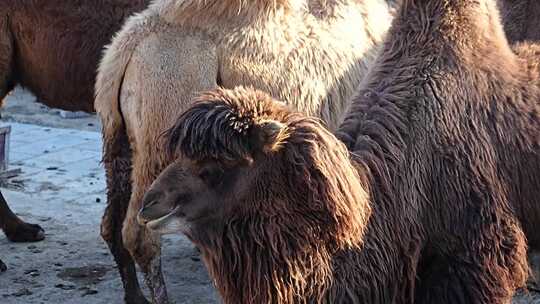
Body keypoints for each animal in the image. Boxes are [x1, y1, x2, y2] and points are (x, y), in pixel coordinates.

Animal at [95, 1, 394, 302]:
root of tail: (126, 49)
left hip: (119, 137)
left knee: (113, 220)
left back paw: (135, 294)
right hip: (163, 116)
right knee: (141, 232)